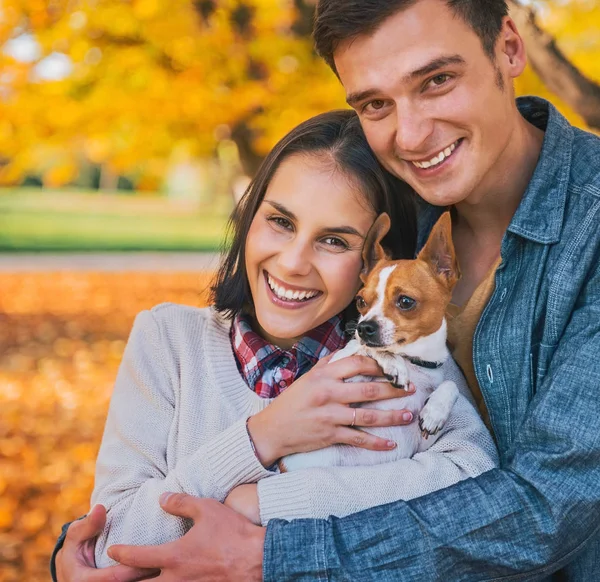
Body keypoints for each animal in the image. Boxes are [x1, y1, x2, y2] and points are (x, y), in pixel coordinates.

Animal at [284, 212, 462, 472]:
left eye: (406, 301)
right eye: (360, 301)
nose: (363, 327)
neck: (414, 361)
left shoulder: (424, 444)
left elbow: (450, 385)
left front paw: (434, 412)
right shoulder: (338, 383)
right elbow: (364, 349)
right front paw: (393, 364)